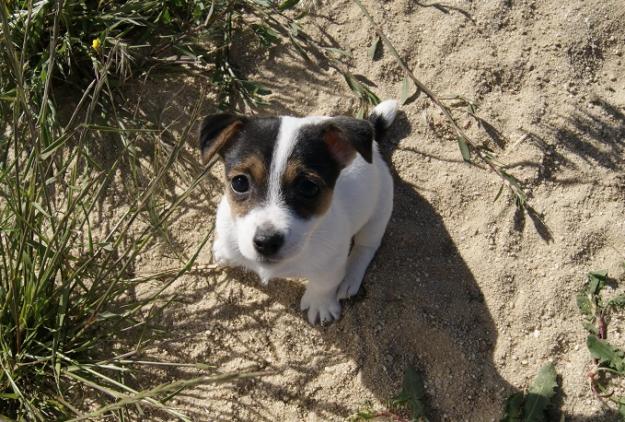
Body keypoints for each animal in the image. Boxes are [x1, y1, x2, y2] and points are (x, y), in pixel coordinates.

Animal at [197, 100, 398, 324]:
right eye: (239, 182)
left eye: (308, 187)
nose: (267, 242)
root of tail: (374, 146)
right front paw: (225, 252)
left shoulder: (331, 263)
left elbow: (324, 283)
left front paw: (320, 304)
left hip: (379, 211)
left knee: (366, 247)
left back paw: (350, 277)